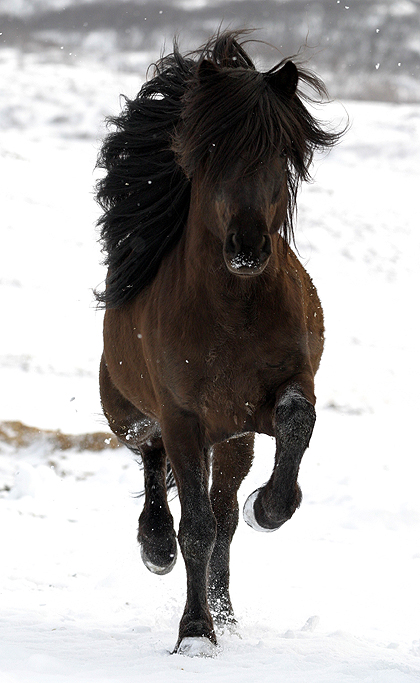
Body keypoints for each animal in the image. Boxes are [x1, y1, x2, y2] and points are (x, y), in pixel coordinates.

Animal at [96, 32, 344, 656]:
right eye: (211, 149)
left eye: (278, 151)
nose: (247, 246)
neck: (235, 310)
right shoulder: (183, 416)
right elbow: (196, 528)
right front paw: (194, 634)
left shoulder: (278, 394)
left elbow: (296, 425)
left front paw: (270, 508)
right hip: (130, 413)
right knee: (151, 458)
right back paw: (156, 548)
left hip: (233, 439)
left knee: (224, 512)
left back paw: (227, 611)